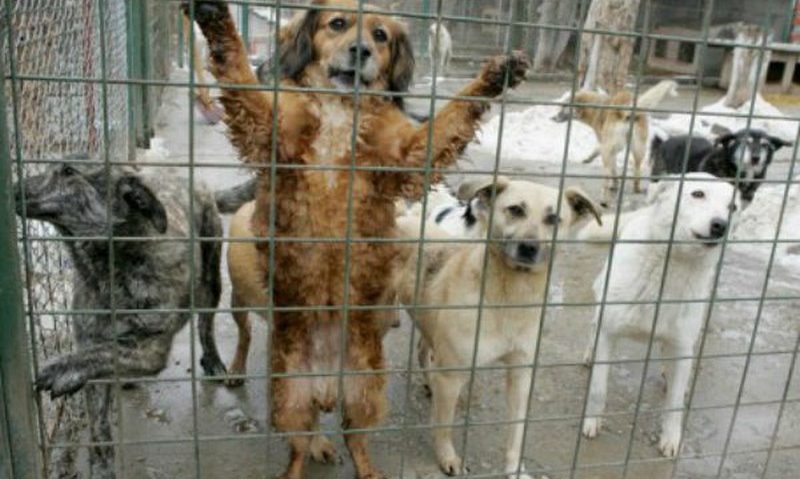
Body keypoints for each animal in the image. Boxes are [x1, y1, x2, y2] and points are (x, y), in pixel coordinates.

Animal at [14, 163, 228, 478]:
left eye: (68, 171)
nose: (10, 187)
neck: (106, 273)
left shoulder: (152, 349)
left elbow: (106, 351)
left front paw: (62, 367)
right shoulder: (92, 345)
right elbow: (99, 424)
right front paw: (103, 468)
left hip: (211, 280)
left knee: (206, 325)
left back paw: (214, 360)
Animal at [184, 1, 528, 478]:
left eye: (381, 35)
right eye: (338, 24)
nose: (361, 50)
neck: (340, 111)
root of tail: (329, 386)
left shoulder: (409, 152)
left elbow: (453, 113)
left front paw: (495, 77)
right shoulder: (269, 127)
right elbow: (237, 69)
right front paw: (215, 20)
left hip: (367, 390)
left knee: (354, 438)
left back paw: (369, 469)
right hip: (288, 395)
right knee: (300, 444)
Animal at [390, 178, 604, 479]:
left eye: (553, 219)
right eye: (515, 209)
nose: (529, 247)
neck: (508, 298)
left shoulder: (521, 374)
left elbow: (517, 431)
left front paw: (515, 469)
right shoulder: (452, 374)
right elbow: (443, 426)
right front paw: (447, 459)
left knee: (424, 348)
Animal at [576, 172, 736, 458]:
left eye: (732, 207)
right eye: (698, 194)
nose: (721, 225)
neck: (671, 266)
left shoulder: (682, 346)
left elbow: (674, 403)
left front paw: (671, 438)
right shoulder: (609, 332)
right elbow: (598, 388)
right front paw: (592, 422)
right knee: (593, 327)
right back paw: (589, 353)